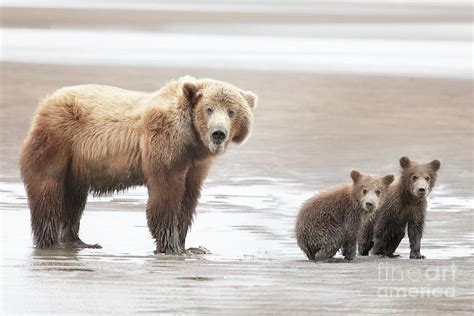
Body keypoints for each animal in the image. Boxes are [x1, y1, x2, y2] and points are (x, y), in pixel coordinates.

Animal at [18, 76, 258, 254]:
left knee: (74, 198)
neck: (192, 140)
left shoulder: (197, 164)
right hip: (57, 139)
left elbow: (188, 199)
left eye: (232, 111)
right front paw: (172, 246)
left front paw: (190, 246)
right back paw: (51, 242)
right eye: (209, 109)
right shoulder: (165, 143)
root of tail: (47, 102)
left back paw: (78, 241)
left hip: (77, 165)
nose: (218, 133)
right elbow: (166, 194)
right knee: (48, 189)